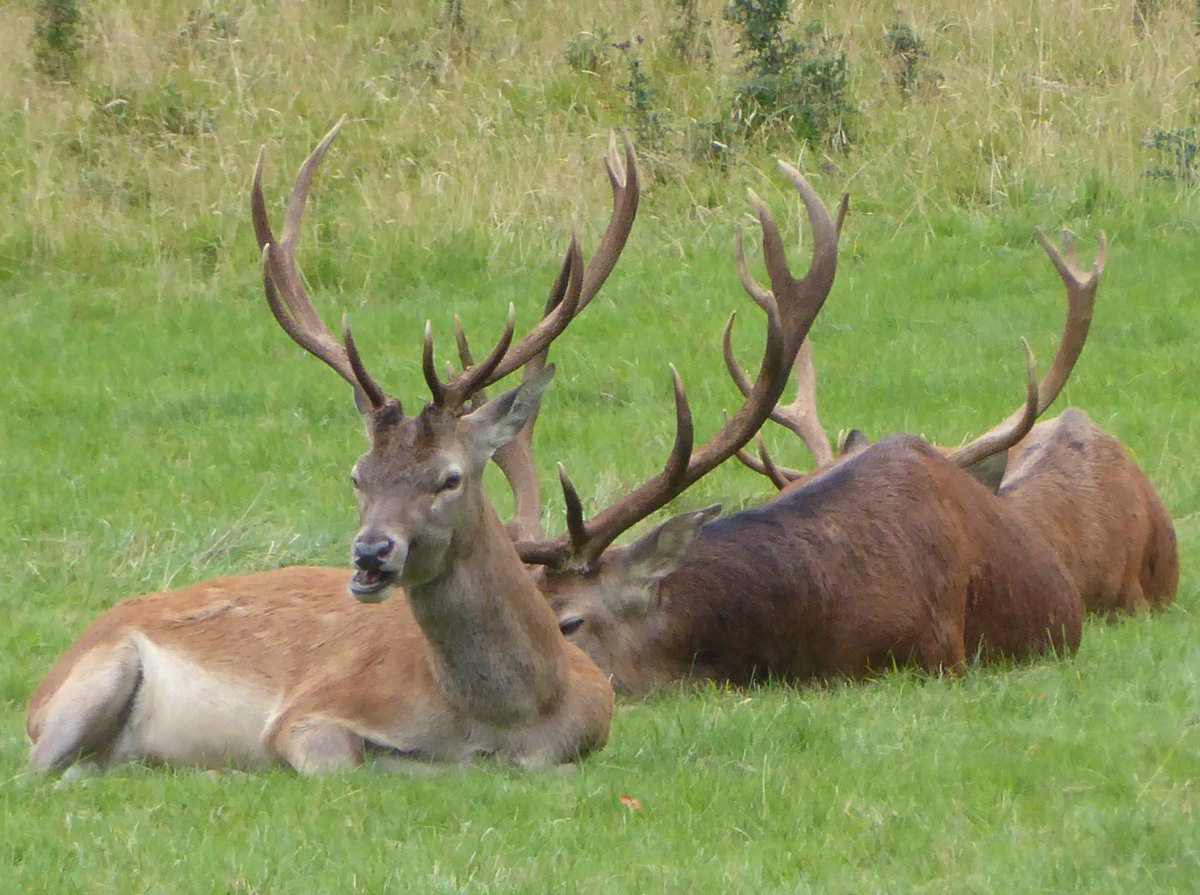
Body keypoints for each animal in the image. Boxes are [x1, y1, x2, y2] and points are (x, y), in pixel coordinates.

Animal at [26, 119, 644, 776]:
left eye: (449, 477)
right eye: (357, 474)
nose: (371, 552)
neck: (506, 721)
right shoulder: (308, 712)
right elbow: (340, 758)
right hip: (95, 677)